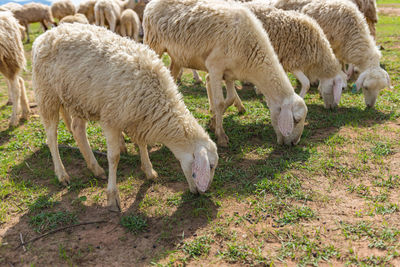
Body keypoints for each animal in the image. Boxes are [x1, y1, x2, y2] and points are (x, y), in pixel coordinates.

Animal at [31, 23, 219, 214]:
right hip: (47, 94)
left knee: (77, 130)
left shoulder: (138, 118)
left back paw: (95, 168)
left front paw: (149, 171)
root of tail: (47, 34)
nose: (202, 193)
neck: (157, 98)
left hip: (80, 99)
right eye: (211, 166)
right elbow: (114, 157)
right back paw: (62, 174)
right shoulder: (111, 120)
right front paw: (113, 197)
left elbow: (142, 144)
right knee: (51, 138)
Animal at [145, 0, 310, 147]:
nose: (294, 143)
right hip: (154, 44)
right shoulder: (215, 67)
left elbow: (229, 99)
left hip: (177, 56)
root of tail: (151, 3)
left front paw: (213, 122)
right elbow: (219, 103)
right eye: (296, 120)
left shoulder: (230, 73)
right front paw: (221, 136)